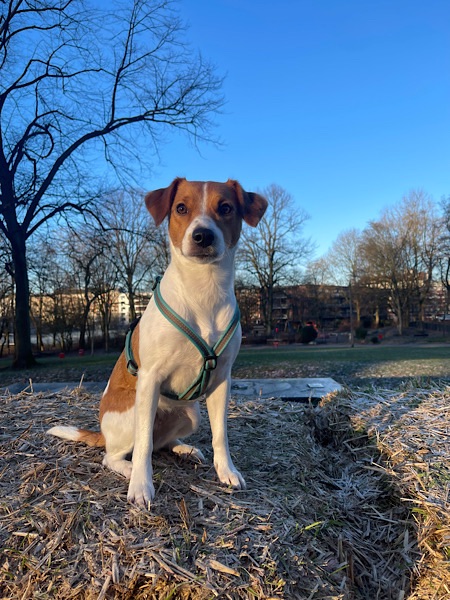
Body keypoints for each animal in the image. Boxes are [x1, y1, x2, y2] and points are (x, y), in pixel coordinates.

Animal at [48, 178, 268, 506]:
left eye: (226, 208)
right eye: (181, 208)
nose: (202, 235)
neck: (203, 291)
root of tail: (102, 432)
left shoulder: (221, 380)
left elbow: (221, 434)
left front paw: (226, 471)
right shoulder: (150, 378)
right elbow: (142, 448)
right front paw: (141, 486)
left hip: (191, 414)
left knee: (159, 443)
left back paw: (184, 448)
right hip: (133, 414)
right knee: (120, 453)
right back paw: (128, 469)